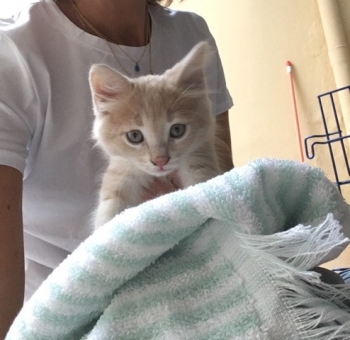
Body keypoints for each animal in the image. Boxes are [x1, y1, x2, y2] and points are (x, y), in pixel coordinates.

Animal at [89, 41, 221, 228]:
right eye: (134, 136)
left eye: (177, 130)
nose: (160, 161)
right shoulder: (120, 173)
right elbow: (108, 215)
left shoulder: (200, 159)